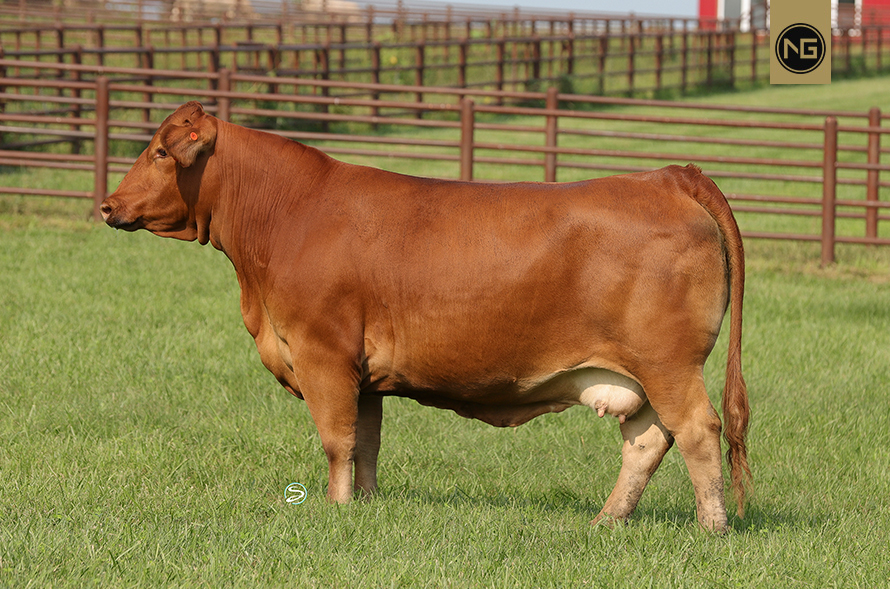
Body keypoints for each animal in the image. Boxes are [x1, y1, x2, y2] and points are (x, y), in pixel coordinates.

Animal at [100, 101, 751, 532]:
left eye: (160, 152)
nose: (107, 205)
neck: (288, 216)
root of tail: (669, 176)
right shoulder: (362, 375)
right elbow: (365, 442)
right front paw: (362, 507)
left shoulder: (322, 353)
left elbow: (336, 439)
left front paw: (335, 510)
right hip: (642, 375)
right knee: (646, 441)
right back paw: (606, 521)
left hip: (668, 364)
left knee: (697, 430)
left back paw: (712, 529)